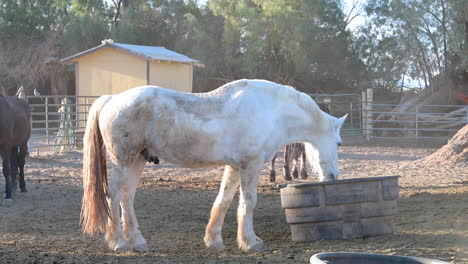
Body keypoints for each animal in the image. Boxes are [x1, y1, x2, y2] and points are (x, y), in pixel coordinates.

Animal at [80, 78, 346, 252]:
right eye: (339, 142)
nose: (333, 176)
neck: (270, 109)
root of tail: (112, 99)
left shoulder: (235, 167)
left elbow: (224, 200)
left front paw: (214, 240)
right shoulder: (250, 165)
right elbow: (248, 203)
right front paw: (250, 242)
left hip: (136, 160)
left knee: (127, 198)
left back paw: (137, 241)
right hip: (123, 160)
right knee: (115, 195)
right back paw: (118, 242)